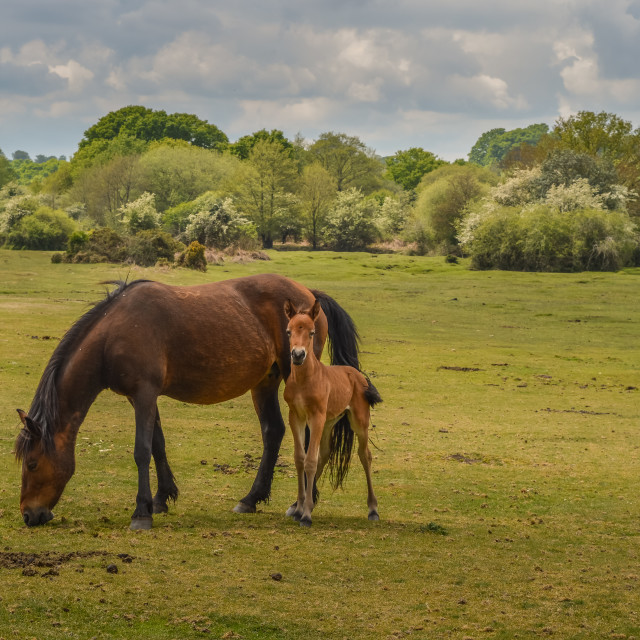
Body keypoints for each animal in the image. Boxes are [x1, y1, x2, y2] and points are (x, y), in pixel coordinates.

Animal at [282, 298, 380, 524]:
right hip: (329, 422)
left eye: (311, 332)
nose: (297, 355)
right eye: (289, 331)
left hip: (358, 420)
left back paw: (373, 509)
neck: (304, 380)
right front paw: (299, 508)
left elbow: (310, 460)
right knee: (325, 454)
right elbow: (300, 458)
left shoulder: (315, 417)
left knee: (365, 455)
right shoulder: (296, 416)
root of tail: (357, 374)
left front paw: (306, 515)